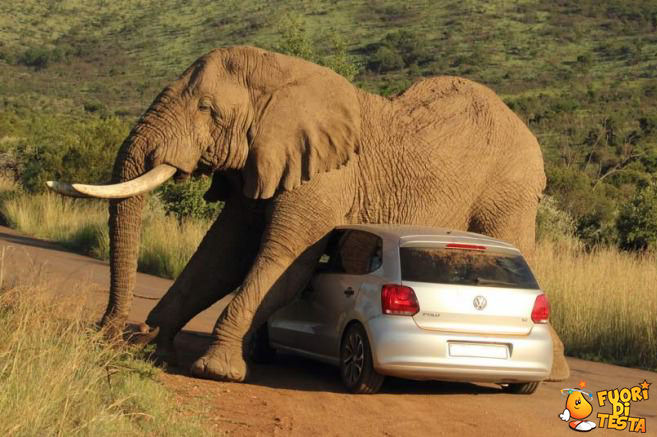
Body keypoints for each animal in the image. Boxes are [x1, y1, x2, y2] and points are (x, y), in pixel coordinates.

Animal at [47, 45, 568, 382]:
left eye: (208, 110)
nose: (108, 332)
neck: (284, 76)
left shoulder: (325, 177)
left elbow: (284, 262)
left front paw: (215, 369)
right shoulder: (261, 162)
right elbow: (220, 257)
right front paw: (155, 346)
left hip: (509, 187)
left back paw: (556, 372)